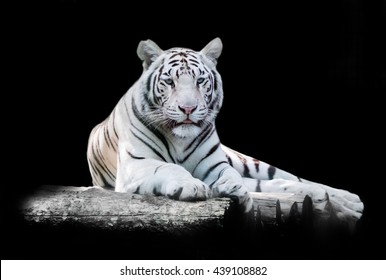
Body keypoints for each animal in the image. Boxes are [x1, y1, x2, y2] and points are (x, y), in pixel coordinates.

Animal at [86, 37, 364, 225]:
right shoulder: (136, 165)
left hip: (248, 162)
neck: (179, 140)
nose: (188, 108)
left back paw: (348, 201)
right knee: (278, 185)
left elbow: (230, 175)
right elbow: (168, 167)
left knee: (290, 179)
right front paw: (192, 186)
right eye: (169, 81)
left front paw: (235, 191)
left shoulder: (215, 165)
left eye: (199, 81)